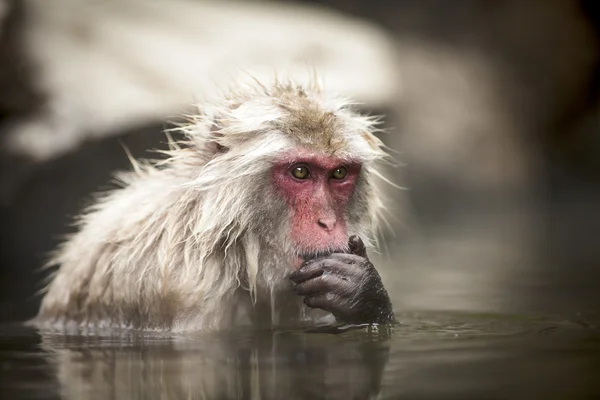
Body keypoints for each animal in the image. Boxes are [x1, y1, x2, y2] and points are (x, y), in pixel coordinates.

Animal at [34, 76, 398, 332]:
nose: (327, 222)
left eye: (339, 173)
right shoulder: (184, 287)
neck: (233, 248)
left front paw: (361, 291)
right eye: (300, 171)